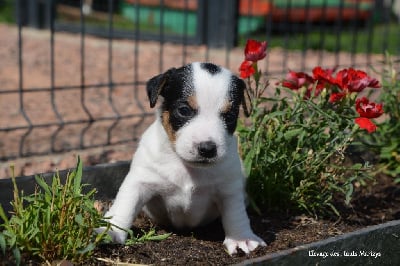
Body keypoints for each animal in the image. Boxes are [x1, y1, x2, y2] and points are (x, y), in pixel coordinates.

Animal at [103, 61, 266, 254]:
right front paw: (110, 231)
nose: (207, 149)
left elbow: (236, 214)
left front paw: (241, 238)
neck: (187, 167)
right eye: (184, 110)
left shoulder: (229, 190)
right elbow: (125, 205)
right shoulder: (140, 182)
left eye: (230, 115)